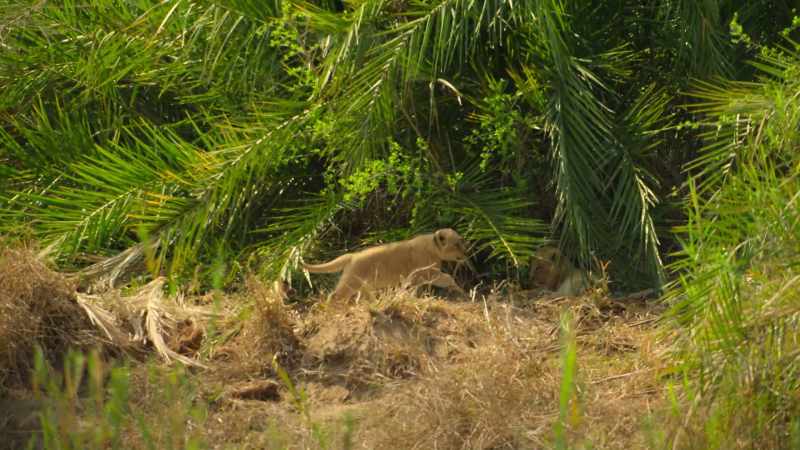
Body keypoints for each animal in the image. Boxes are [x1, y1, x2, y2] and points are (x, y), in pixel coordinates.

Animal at [303, 228, 468, 302]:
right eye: (457, 244)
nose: (466, 254)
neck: (434, 248)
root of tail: (352, 256)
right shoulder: (428, 273)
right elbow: (447, 278)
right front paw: (461, 290)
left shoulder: (418, 278)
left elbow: (414, 289)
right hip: (350, 283)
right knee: (334, 296)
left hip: (364, 286)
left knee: (360, 299)